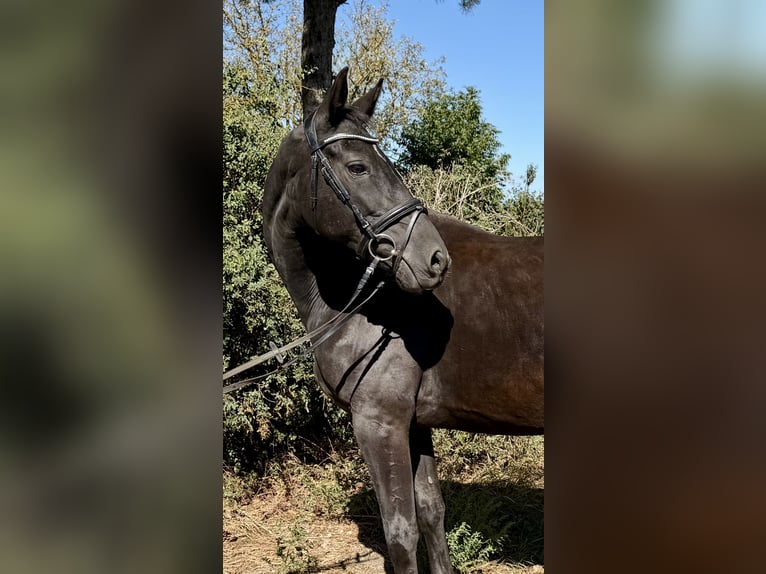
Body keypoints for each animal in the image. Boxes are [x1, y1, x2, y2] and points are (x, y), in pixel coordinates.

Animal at [263, 67, 543, 574]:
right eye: (359, 167)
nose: (434, 259)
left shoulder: (379, 421)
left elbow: (400, 533)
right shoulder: (413, 422)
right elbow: (431, 512)